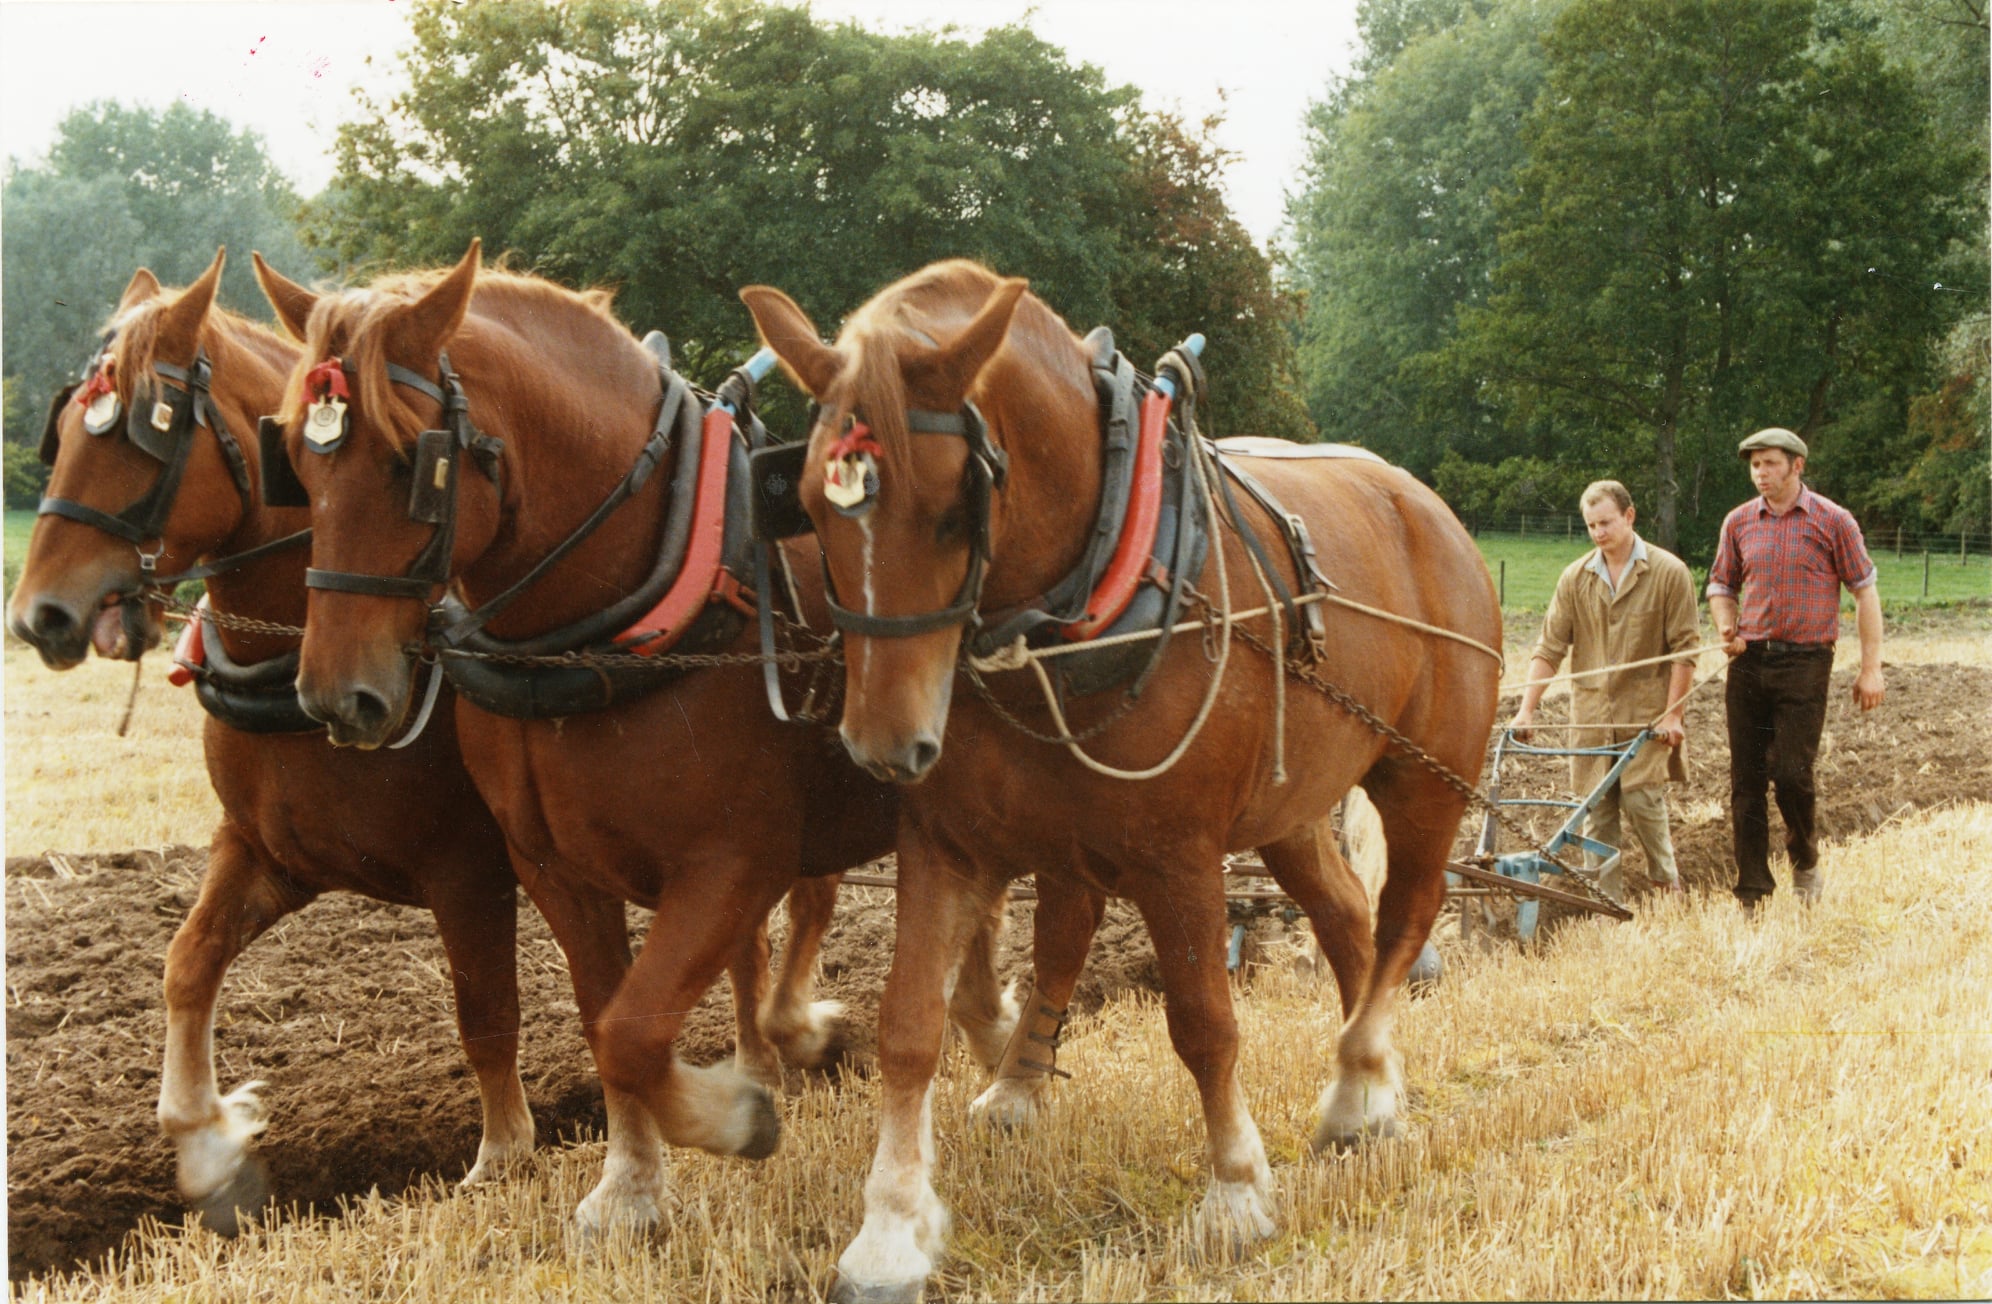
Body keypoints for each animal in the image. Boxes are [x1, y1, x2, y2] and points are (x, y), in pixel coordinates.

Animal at [4, 251, 839, 1234]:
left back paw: (776, 1056)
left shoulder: (467, 867)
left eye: (145, 434)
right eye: (63, 430)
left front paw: (502, 1153)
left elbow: (484, 1011)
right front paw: (211, 1144)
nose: (41, 615)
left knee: (778, 924)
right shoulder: (266, 852)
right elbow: (186, 964)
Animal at [246, 242, 1129, 1232]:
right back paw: (980, 1025)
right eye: (293, 461)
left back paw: (1017, 1078)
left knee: (1066, 919)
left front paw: (738, 1116)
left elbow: (634, 1031)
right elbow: (605, 1023)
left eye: (412, 462)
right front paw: (631, 1184)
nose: (334, 695)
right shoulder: (555, 871)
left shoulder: (731, 862)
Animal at [742, 259, 1501, 1301]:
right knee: (1348, 918)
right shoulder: (947, 844)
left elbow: (1204, 1023)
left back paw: (1356, 1077)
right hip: (1290, 808)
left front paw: (1234, 1195)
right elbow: (907, 1025)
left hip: (1428, 784)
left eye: (951, 511)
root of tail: (1428, 510)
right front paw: (890, 1231)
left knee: (1405, 919)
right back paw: (1370, 1092)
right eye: (811, 510)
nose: (884, 747)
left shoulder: (1176, 855)